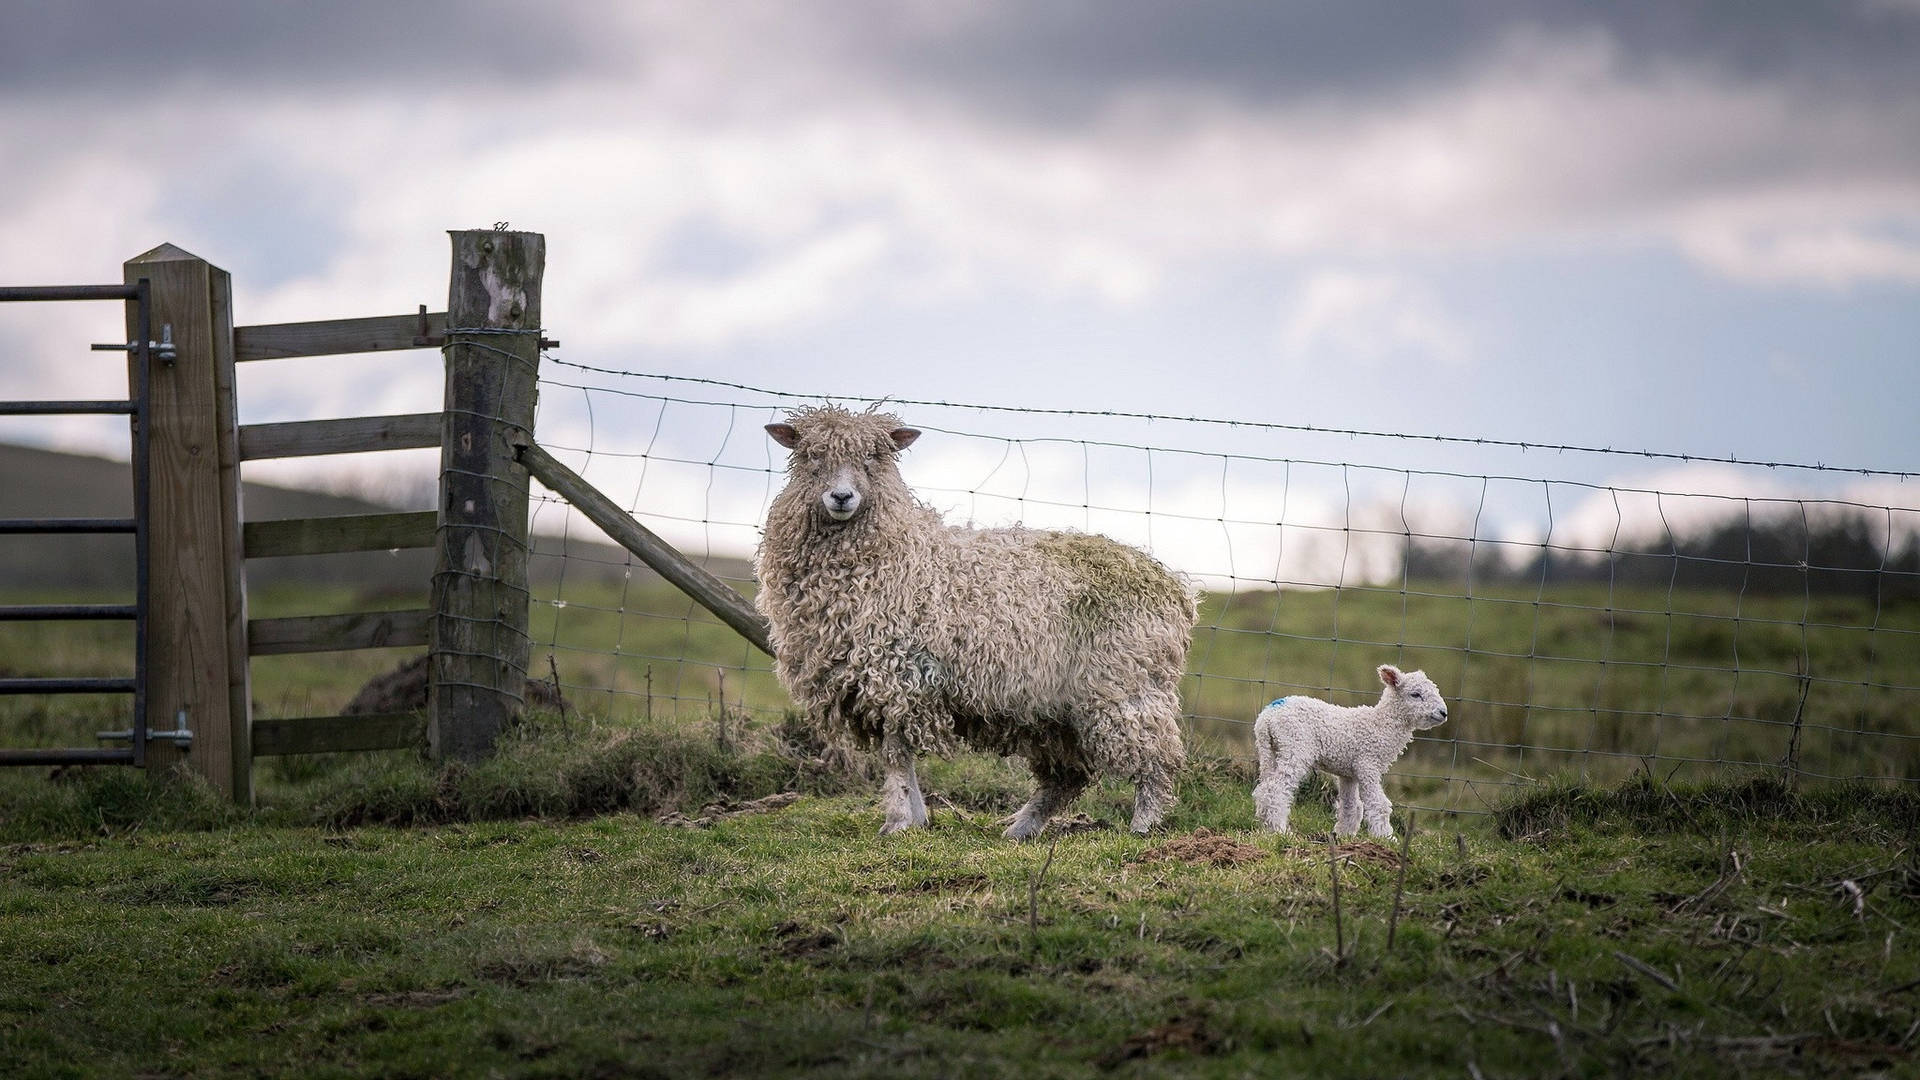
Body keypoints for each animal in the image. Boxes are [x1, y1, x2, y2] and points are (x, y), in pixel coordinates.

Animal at [752, 401, 1190, 834]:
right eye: (812, 455)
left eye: (874, 456)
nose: (841, 496)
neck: (890, 555)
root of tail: (1173, 586)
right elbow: (900, 755)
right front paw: (916, 818)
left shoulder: (896, 672)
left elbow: (895, 754)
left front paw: (899, 820)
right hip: (1057, 709)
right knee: (1067, 774)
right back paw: (1021, 829)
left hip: (1125, 684)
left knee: (1156, 758)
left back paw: (1142, 825)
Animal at [1251, 661, 1443, 837]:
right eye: (1415, 694)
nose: (1444, 713)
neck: (1381, 724)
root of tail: (1268, 715)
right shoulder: (1367, 765)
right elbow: (1378, 804)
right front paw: (1386, 838)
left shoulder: (1348, 774)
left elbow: (1351, 805)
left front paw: (1344, 835)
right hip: (1295, 747)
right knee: (1276, 790)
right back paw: (1280, 830)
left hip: (1271, 750)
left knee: (1264, 788)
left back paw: (1266, 825)